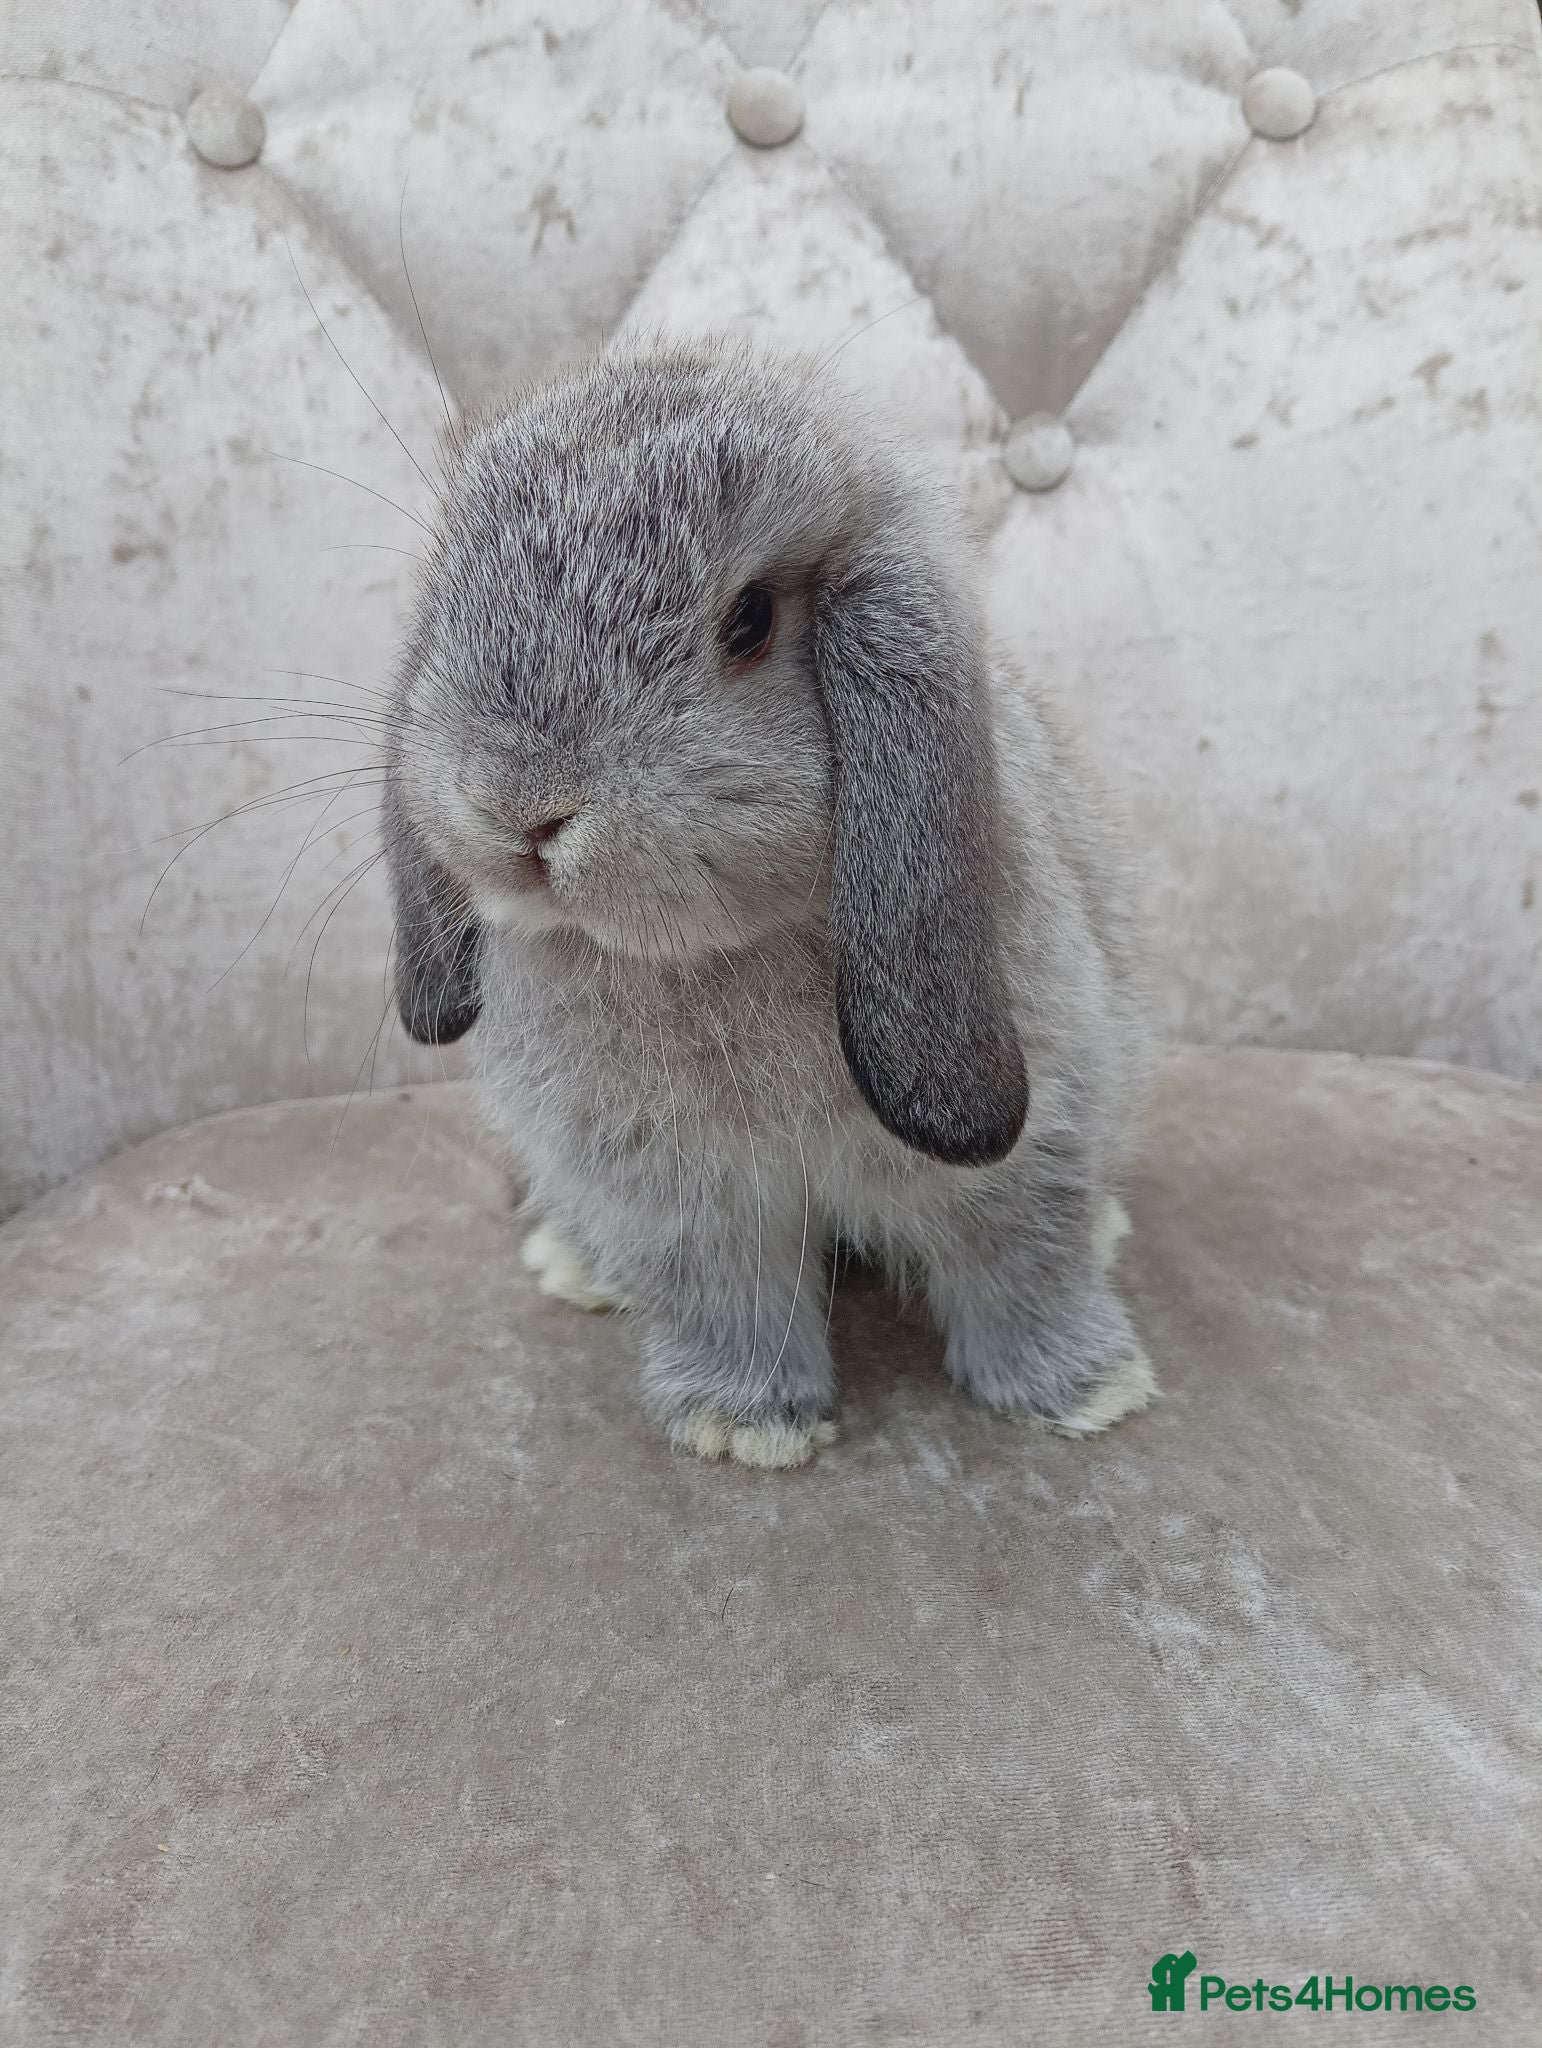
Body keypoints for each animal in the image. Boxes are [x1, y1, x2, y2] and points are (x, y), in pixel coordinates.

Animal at [382, 335, 1155, 1469]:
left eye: (748, 621)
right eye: (455, 600)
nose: (519, 806)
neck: (705, 954)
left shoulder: (1030, 1144)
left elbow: (1021, 1265)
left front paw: (1086, 1390)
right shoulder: (683, 1199)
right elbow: (728, 1301)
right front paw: (745, 1426)